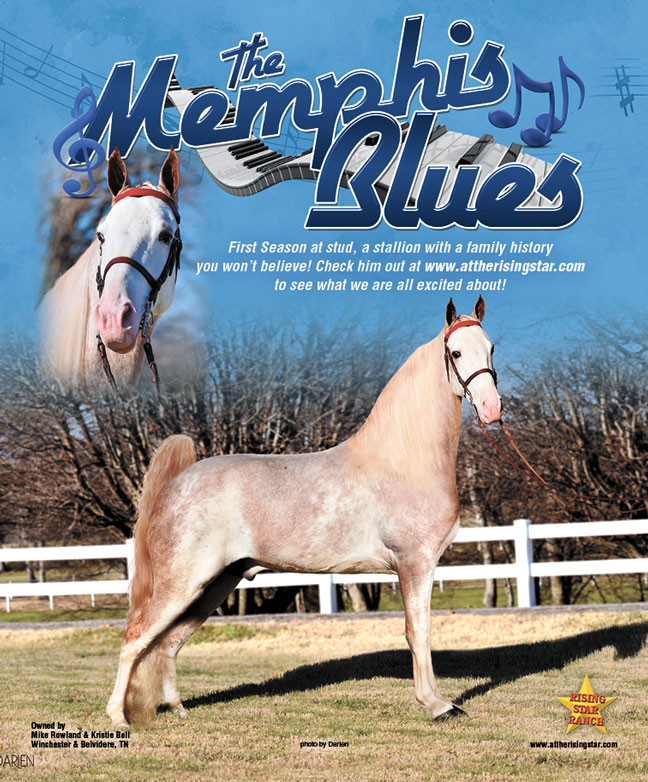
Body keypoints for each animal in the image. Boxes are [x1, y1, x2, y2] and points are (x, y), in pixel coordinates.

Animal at [106, 296, 502, 727]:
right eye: (455, 352)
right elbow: (418, 633)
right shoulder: (415, 563)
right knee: (136, 636)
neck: (404, 461)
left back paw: (179, 710)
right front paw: (437, 704)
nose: (492, 408)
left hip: (215, 584)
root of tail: (173, 486)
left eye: (491, 348)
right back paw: (118, 718)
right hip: (184, 584)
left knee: (169, 642)